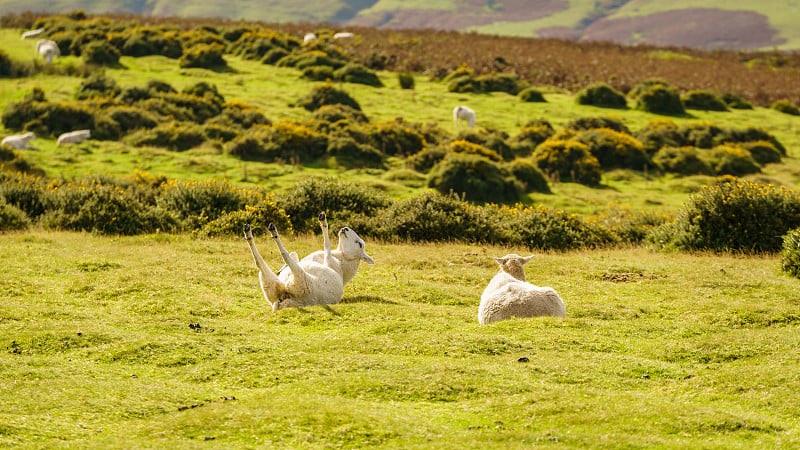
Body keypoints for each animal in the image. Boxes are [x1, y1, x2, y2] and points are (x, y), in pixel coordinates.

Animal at [244, 211, 376, 310]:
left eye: (360, 244)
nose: (345, 229)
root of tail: (284, 299)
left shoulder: (330, 260)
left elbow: (326, 245)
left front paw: (324, 223)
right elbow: (295, 254)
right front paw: (281, 269)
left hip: (301, 282)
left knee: (282, 257)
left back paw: (271, 232)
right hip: (271, 284)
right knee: (261, 262)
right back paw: (249, 233)